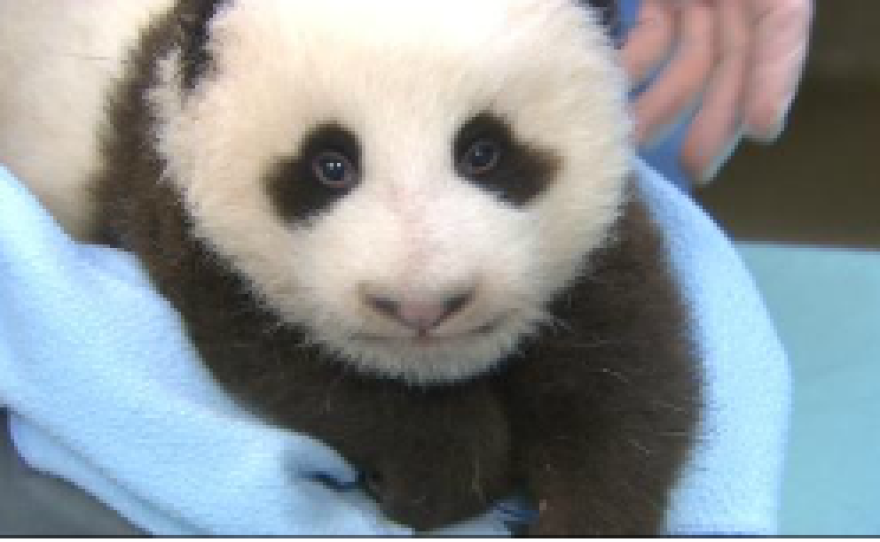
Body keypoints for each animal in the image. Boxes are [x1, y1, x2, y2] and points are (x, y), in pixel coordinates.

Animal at [1, 0, 701, 535]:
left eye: (484, 152)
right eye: (330, 165)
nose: (423, 305)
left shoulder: (594, 240)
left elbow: (627, 379)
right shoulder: (176, 203)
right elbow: (295, 366)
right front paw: (440, 471)